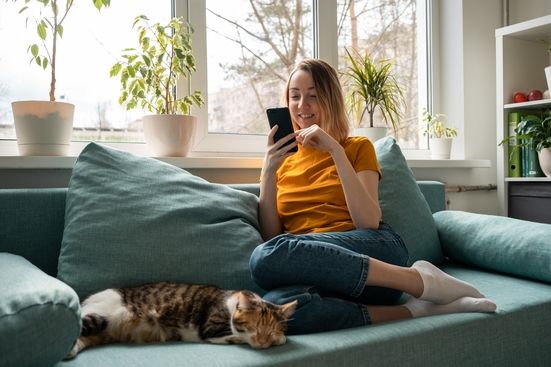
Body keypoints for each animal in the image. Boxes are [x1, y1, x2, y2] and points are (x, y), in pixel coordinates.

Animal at [66, 282, 298, 360]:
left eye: (270, 331)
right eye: (254, 328)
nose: (263, 342)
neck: (231, 304)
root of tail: (84, 301)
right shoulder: (210, 330)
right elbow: (237, 337)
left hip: (101, 330)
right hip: (102, 315)